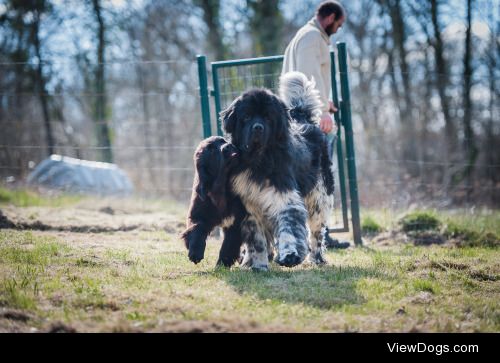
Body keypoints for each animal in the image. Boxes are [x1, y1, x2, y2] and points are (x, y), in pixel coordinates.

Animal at [222, 72, 332, 270]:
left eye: (267, 117)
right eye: (247, 117)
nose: (258, 128)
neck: (258, 161)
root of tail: (302, 118)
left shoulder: (285, 198)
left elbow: (289, 230)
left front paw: (290, 255)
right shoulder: (249, 205)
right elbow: (257, 240)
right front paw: (258, 264)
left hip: (319, 197)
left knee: (317, 232)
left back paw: (317, 258)